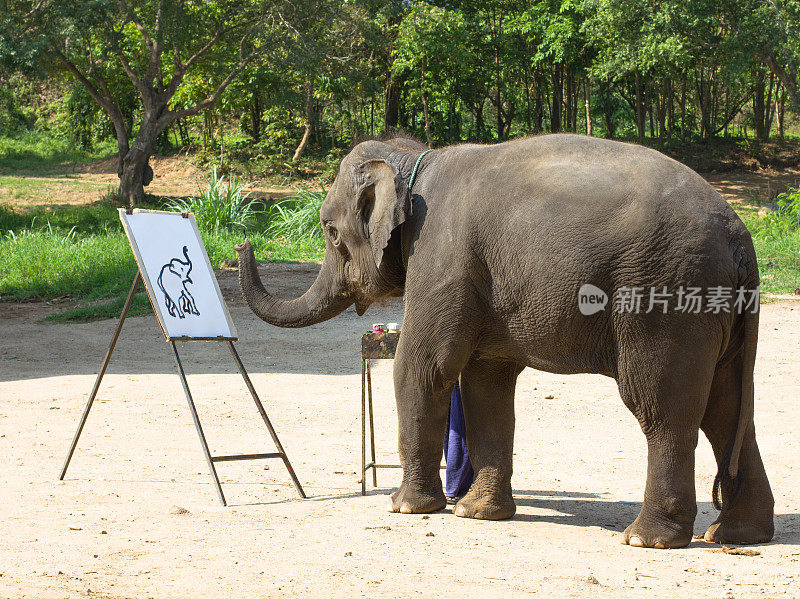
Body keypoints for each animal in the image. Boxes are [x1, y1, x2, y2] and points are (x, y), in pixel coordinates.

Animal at [236, 135, 776, 548]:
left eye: (330, 230)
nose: (243, 243)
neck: (415, 157)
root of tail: (739, 237)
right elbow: (485, 383)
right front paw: (476, 514)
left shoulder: (442, 258)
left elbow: (423, 367)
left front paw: (405, 508)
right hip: (712, 309)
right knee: (726, 408)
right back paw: (736, 535)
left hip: (663, 298)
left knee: (662, 407)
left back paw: (647, 540)